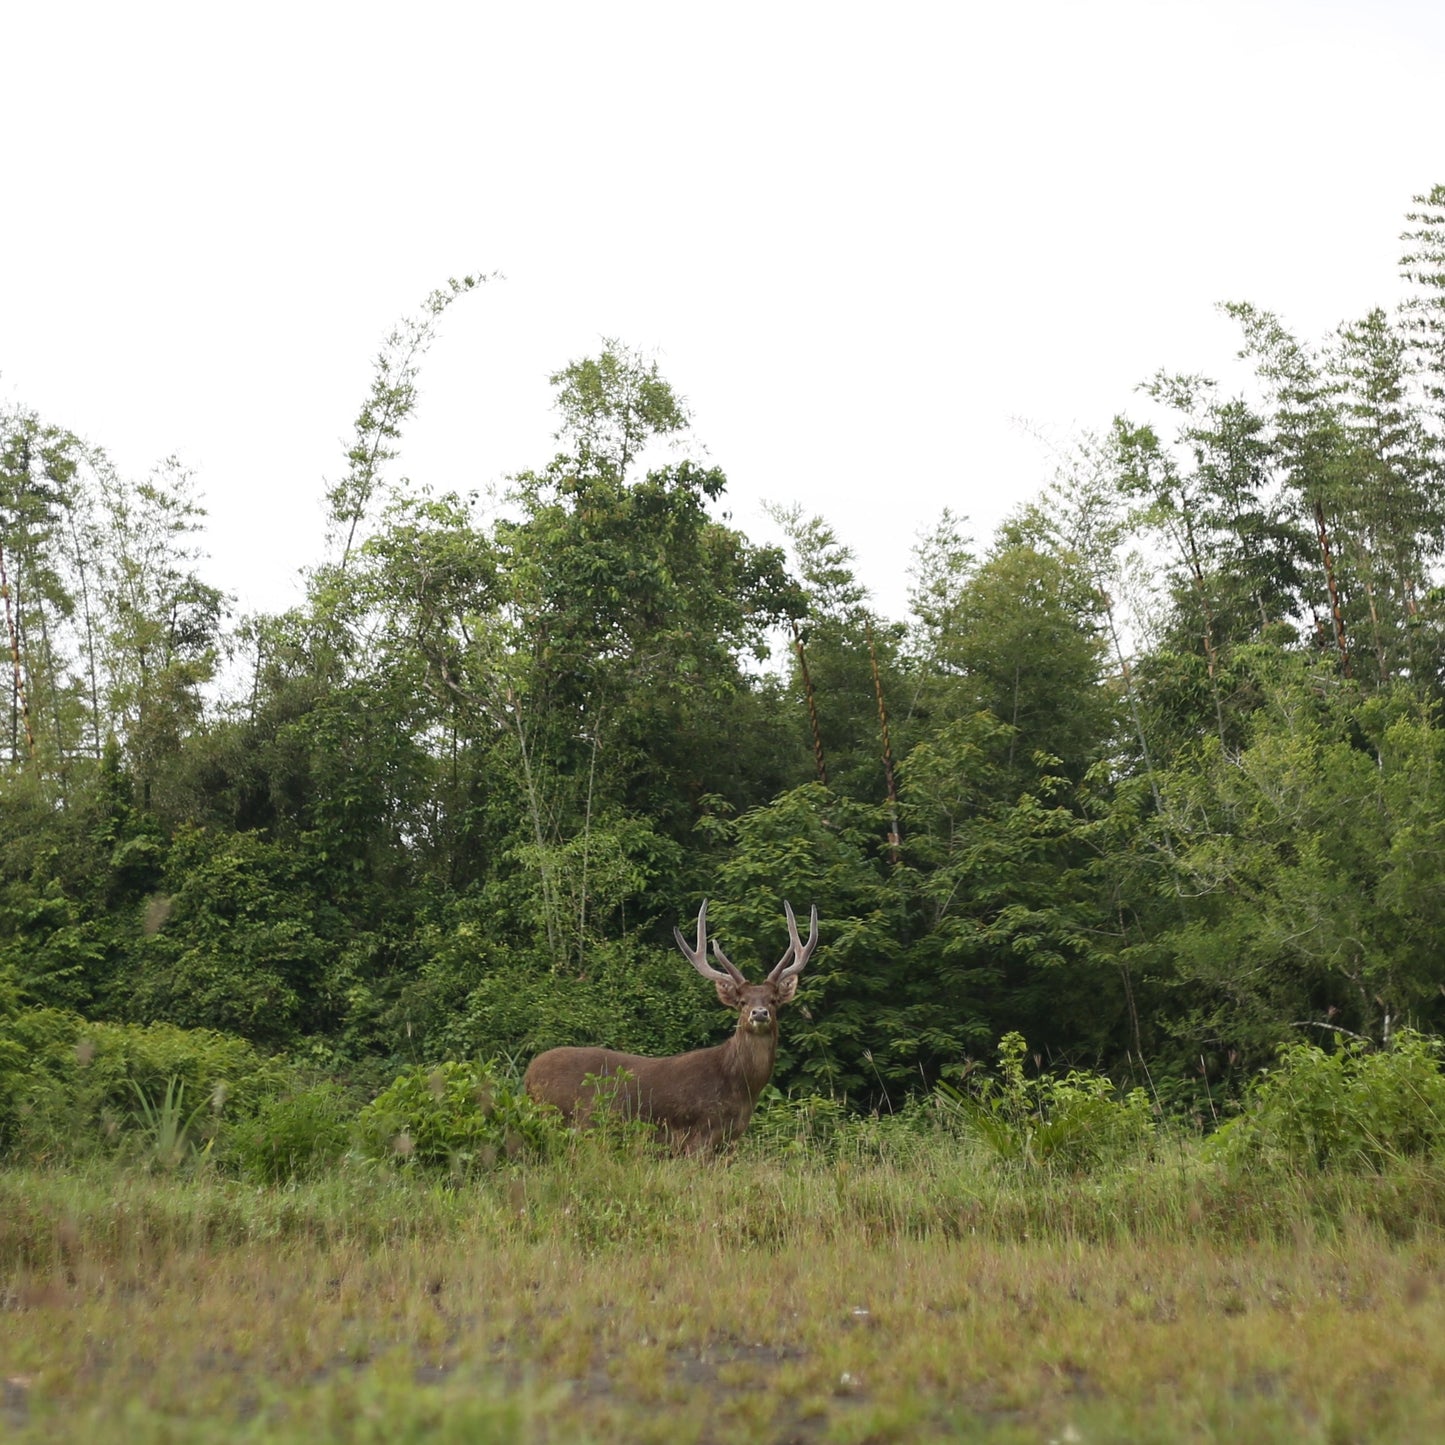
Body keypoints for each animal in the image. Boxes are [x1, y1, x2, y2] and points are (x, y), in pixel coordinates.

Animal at [523, 895, 820, 1156]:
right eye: (742, 1002)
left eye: (773, 1000)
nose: (759, 1013)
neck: (738, 1086)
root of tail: (528, 1074)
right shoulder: (699, 1133)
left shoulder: (729, 1138)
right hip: (563, 1118)